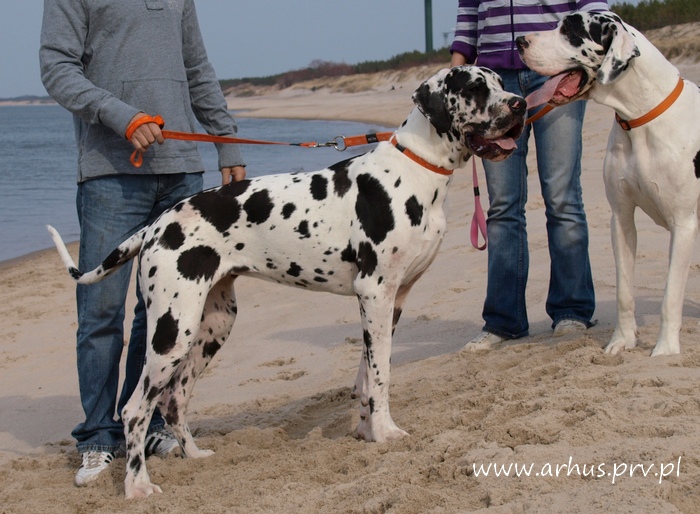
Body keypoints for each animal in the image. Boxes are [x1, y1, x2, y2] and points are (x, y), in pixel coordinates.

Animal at [48, 66, 525, 498]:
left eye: (501, 82)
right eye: (476, 88)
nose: (520, 104)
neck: (418, 170)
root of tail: (155, 225)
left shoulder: (393, 299)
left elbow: (368, 374)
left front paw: (367, 431)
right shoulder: (375, 292)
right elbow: (381, 375)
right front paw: (386, 433)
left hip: (213, 324)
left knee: (175, 398)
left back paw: (195, 456)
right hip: (172, 329)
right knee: (135, 409)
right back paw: (137, 486)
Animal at [516, 12, 700, 356]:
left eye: (570, 31)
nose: (520, 40)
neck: (640, 118)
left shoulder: (683, 224)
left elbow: (670, 295)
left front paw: (665, 349)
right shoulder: (621, 218)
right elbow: (624, 291)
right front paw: (622, 341)